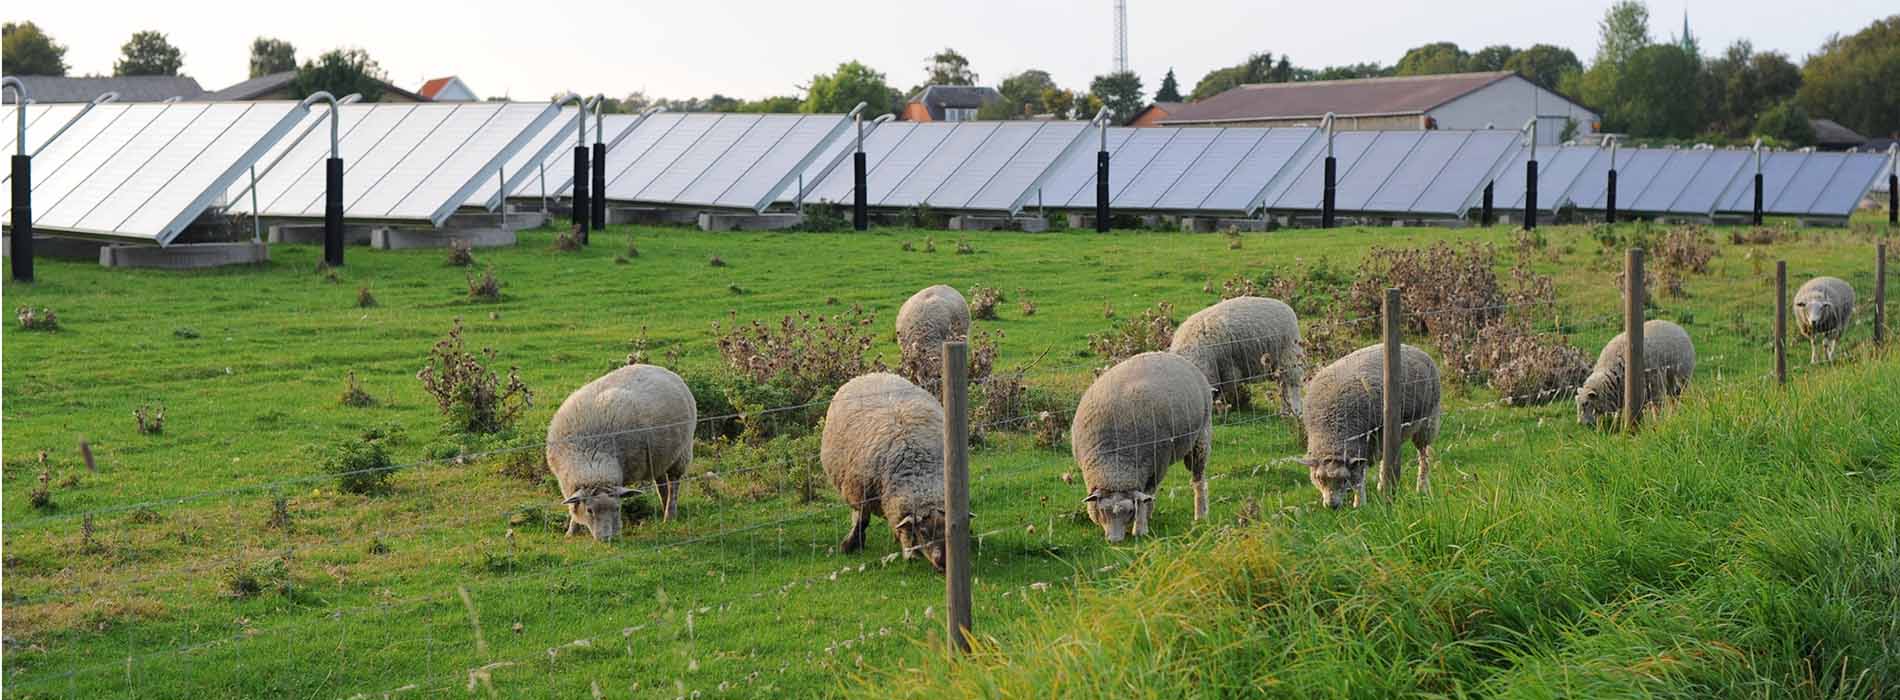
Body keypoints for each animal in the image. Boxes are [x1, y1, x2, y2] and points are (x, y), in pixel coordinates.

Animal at [543, 363, 699, 544]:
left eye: (617, 508)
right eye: (589, 510)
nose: (605, 539)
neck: (592, 458)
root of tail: (661, 368)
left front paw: (616, 530)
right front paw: (571, 532)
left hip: (682, 453)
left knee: (674, 482)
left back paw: (670, 515)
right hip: (660, 456)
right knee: (661, 482)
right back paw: (664, 506)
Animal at [824, 372, 957, 574]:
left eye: (948, 530)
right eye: (924, 532)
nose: (943, 563)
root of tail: (874, 374)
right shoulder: (860, 494)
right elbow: (862, 520)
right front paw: (851, 545)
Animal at [1079, 350, 1208, 540]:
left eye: (1129, 511)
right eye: (1102, 511)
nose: (1115, 541)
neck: (1116, 457)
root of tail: (1165, 353)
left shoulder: (1156, 464)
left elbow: (1145, 496)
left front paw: (1140, 529)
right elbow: (1145, 497)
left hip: (1201, 437)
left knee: (1198, 479)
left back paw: (1200, 514)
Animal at [1170, 294, 1307, 414]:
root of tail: (1287, 307)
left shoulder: (1228, 369)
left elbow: (1223, 391)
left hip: (1289, 354)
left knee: (1293, 383)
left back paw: (1296, 411)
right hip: (1276, 363)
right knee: (1282, 385)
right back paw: (1284, 411)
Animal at [1299, 344, 1444, 509]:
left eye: (1344, 479)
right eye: (1319, 479)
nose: (1332, 506)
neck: (1333, 431)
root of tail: (1412, 347)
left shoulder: (1367, 443)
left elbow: (1359, 478)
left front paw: (1359, 504)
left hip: (1427, 423)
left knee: (1424, 457)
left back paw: (1421, 487)